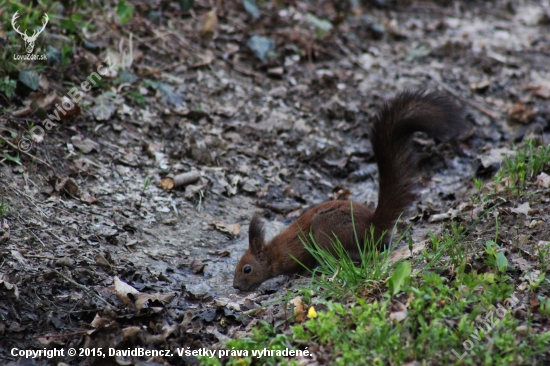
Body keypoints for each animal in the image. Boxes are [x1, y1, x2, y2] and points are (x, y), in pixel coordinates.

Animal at [232, 89, 466, 292]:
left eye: (247, 269)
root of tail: (372, 225)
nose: (235, 286)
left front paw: (294, 276)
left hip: (326, 232)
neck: (273, 253)